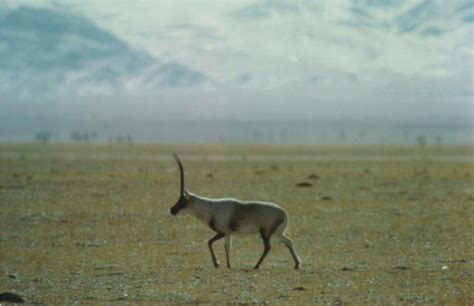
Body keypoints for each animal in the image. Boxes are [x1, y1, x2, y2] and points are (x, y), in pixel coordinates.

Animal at [168, 154, 300, 268]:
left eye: (183, 201)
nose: (172, 210)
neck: (211, 207)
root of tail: (284, 213)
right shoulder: (228, 233)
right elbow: (227, 247)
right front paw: (228, 265)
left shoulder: (221, 232)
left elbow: (209, 242)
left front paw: (217, 264)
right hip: (277, 232)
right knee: (288, 241)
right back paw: (296, 264)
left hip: (265, 232)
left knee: (268, 247)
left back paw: (256, 266)